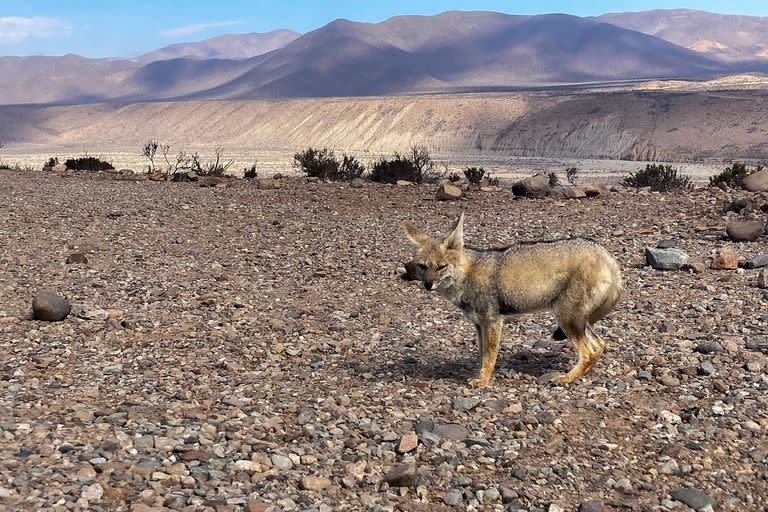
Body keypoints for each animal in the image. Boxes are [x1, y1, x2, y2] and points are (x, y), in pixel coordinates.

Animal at [404, 213, 620, 388]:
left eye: (441, 267)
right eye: (422, 267)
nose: (428, 285)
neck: (467, 273)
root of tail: (607, 255)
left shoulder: (492, 321)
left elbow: (489, 357)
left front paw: (483, 381)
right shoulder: (478, 324)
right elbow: (481, 355)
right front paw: (479, 375)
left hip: (567, 318)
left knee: (588, 352)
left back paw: (567, 377)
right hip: (578, 320)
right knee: (599, 345)